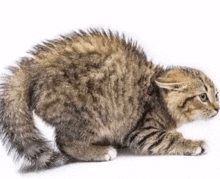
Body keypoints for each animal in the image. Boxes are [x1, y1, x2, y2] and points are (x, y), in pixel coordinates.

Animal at [0, 29, 219, 172]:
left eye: (216, 95)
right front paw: (193, 144)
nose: (217, 108)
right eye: (202, 97)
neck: (159, 97)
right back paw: (97, 151)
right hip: (85, 114)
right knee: (65, 142)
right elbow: (166, 139)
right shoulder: (142, 131)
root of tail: (33, 66)